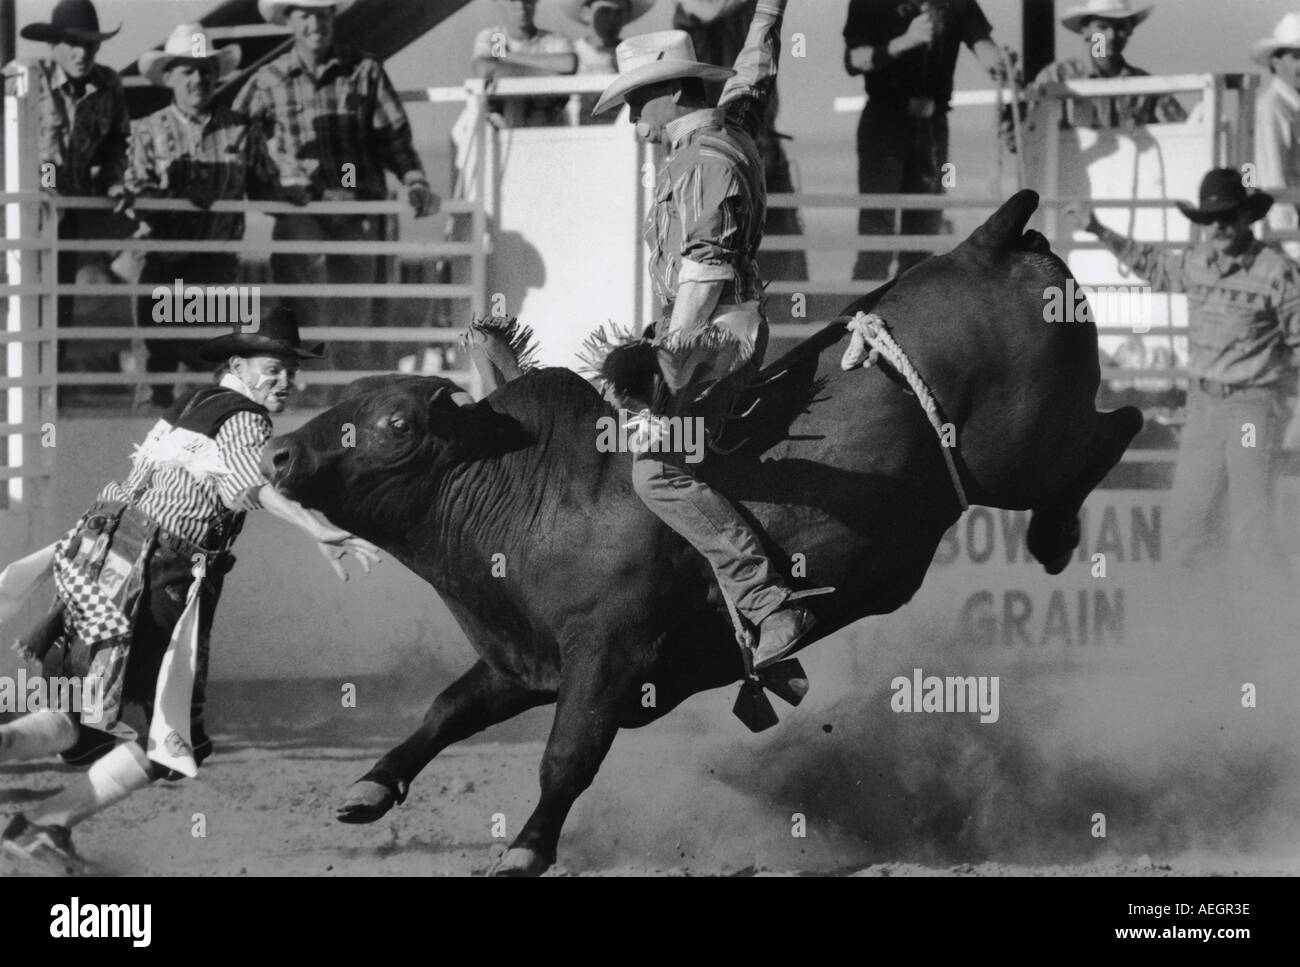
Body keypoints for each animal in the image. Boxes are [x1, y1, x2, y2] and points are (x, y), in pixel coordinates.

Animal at [263, 191, 1143, 875]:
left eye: (394, 422)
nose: (278, 453)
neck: (534, 495)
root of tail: (986, 240)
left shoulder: (609, 655)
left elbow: (567, 754)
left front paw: (526, 846)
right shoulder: (524, 659)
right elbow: (446, 708)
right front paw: (369, 787)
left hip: (1022, 450)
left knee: (1117, 427)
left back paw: (1055, 537)